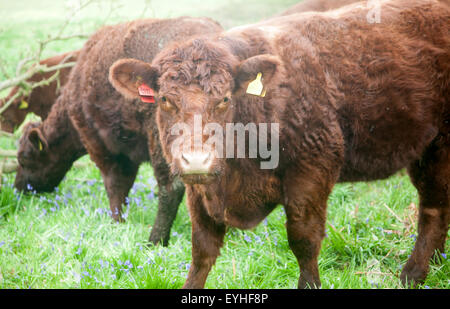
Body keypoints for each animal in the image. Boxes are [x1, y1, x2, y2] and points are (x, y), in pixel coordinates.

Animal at [15, 18, 223, 247]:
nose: (18, 189)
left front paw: (116, 222)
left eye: (24, 158)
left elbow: (115, 187)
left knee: (170, 187)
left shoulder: (104, 149)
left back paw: (155, 241)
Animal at [110, 0, 450, 286]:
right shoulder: (200, 191)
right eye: (165, 100)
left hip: (439, 147)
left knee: (432, 209)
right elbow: (202, 250)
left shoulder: (311, 172)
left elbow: (304, 241)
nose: (196, 159)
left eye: (224, 99)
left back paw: (412, 274)